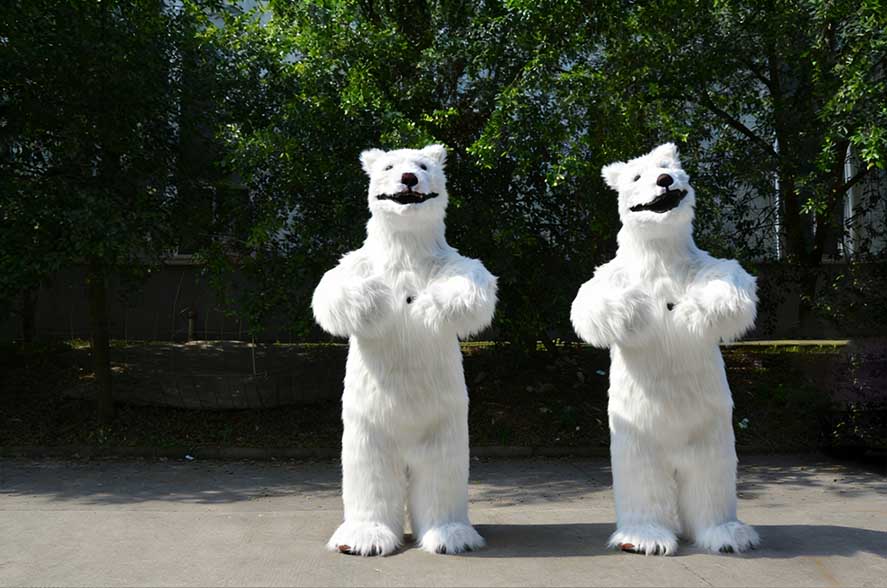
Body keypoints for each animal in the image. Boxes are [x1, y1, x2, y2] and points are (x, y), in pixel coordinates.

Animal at [312, 144, 497, 556]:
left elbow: (475, 286)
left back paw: (451, 536)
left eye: (424, 165)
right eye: (389, 166)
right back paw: (362, 538)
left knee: (442, 473)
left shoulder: (450, 260)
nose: (409, 178)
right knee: (370, 473)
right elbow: (332, 291)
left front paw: (427, 302)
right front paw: (380, 298)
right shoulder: (357, 261)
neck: (407, 248)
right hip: (368, 425)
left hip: (445, 424)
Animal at [570, 143, 760, 556]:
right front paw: (639, 308)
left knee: (711, 477)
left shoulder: (702, 264)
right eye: (637, 176)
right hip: (638, 431)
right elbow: (589, 304)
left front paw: (690, 308)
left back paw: (726, 534)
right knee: (642, 477)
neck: (660, 254)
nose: (664, 180)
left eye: (667, 166)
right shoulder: (613, 273)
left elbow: (732, 287)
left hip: (711, 430)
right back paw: (644, 538)